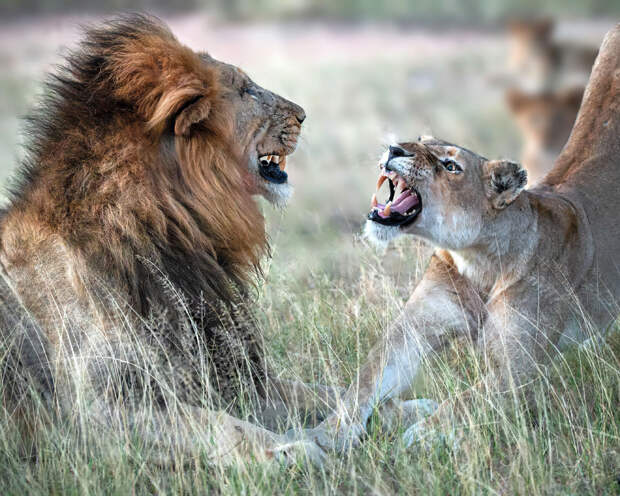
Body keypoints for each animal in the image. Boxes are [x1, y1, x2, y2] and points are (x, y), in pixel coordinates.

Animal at [0, 14, 334, 464]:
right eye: (246, 89)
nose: (302, 115)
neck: (179, 232)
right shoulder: (92, 411)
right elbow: (224, 427)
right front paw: (291, 450)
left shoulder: (225, 370)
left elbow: (328, 391)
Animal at [302, 23, 620, 452]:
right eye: (419, 141)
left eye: (450, 166)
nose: (394, 147)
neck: (478, 260)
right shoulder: (413, 330)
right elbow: (364, 383)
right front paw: (314, 439)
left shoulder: (517, 368)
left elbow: (463, 402)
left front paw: (416, 436)